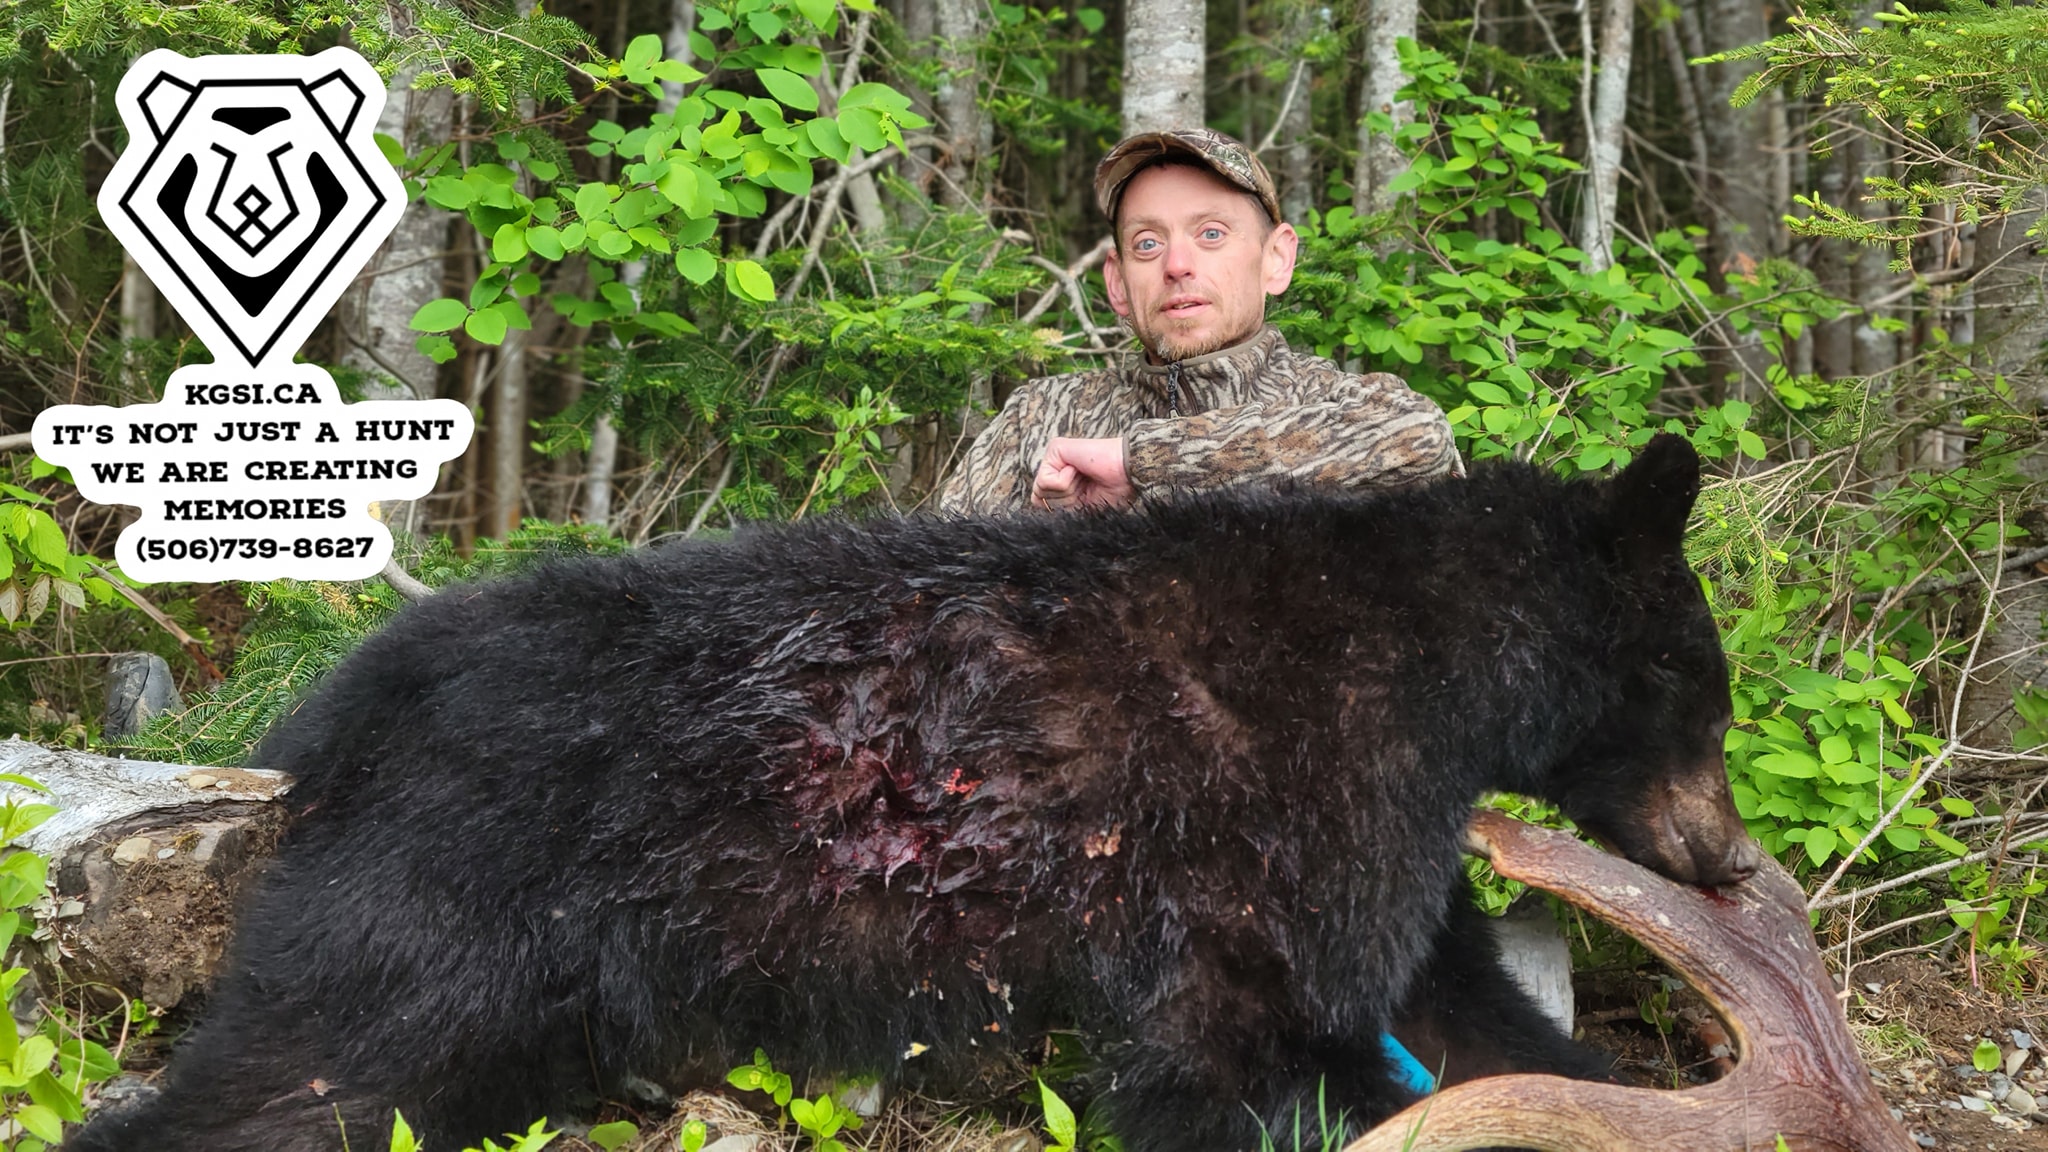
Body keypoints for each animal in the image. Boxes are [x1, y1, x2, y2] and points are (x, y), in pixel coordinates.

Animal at [73, 433, 1755, 1152]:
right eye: (1709, 687)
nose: (1734, 860)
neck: (1435, 660)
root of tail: (344, 701)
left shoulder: (1376, 842)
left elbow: (1464, 1017)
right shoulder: (1278, 808)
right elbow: (1235, 1050)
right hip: (458, 894)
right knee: (303, 1078)